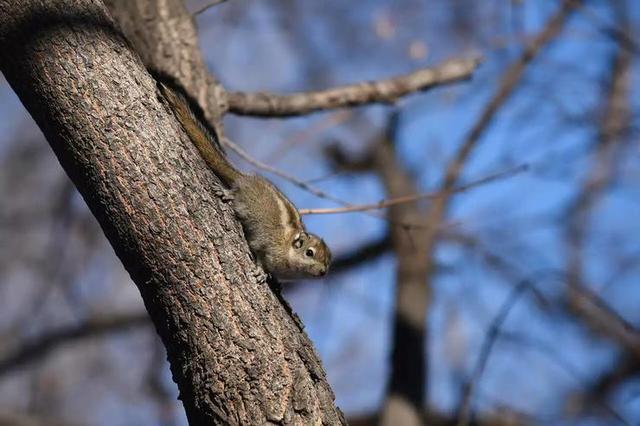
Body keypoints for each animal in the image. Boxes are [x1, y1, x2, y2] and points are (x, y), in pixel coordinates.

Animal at [158, 80, 332, 282]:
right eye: (309, 253)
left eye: (329, 260)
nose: (323, 272)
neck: (288, 246)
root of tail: (245, 178)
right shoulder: (265, 245)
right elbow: (259, 254)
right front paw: (261, 272)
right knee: (236, 192)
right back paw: (227, 193)